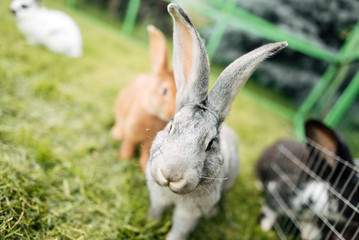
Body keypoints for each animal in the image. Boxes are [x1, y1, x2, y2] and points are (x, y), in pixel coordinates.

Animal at [111, 25, 176, 172]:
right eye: (164, 91)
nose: (173, 112)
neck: (155, 115)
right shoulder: (132, 131)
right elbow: (128, 144)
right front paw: (124, 158)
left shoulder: (150, 142)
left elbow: (145, 152)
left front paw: (143, 168)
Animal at [145, 3, 288, 240]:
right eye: (171, 125)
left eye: (211, 143)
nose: (171, 175)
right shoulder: (158, 197)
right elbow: (156, 211)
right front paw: (151, 222)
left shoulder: (189, 213)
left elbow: (180, 230)